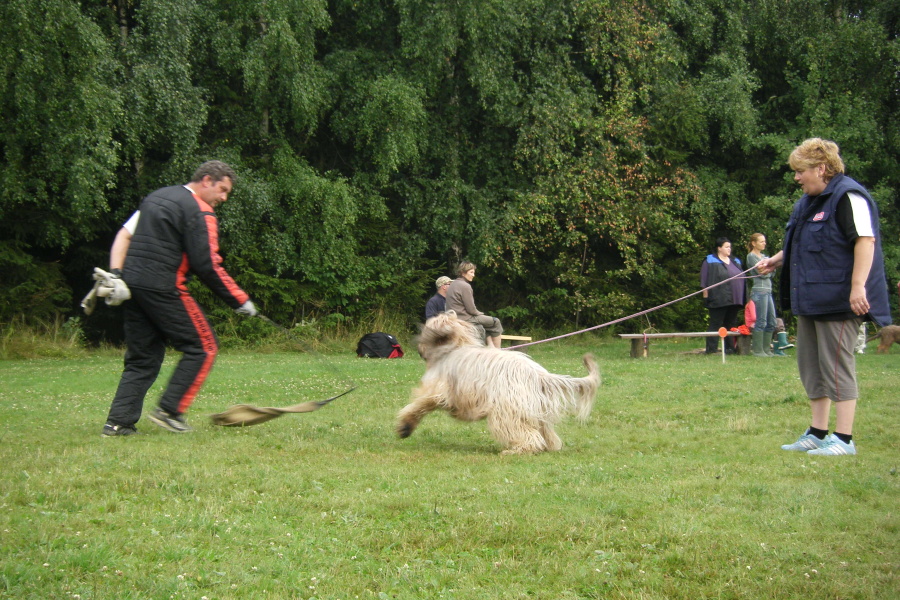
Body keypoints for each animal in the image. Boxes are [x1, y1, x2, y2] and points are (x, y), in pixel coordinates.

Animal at [398, 310, 600, 454]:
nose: (419, 348)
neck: (453, 347)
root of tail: (538, 374)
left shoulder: (439, 391)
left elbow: (419, 405)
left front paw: (405, 426)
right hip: (532, 409)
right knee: (546, 434)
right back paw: (550, 446)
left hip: (507, 410)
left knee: (530, 436)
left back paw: (518, 450)